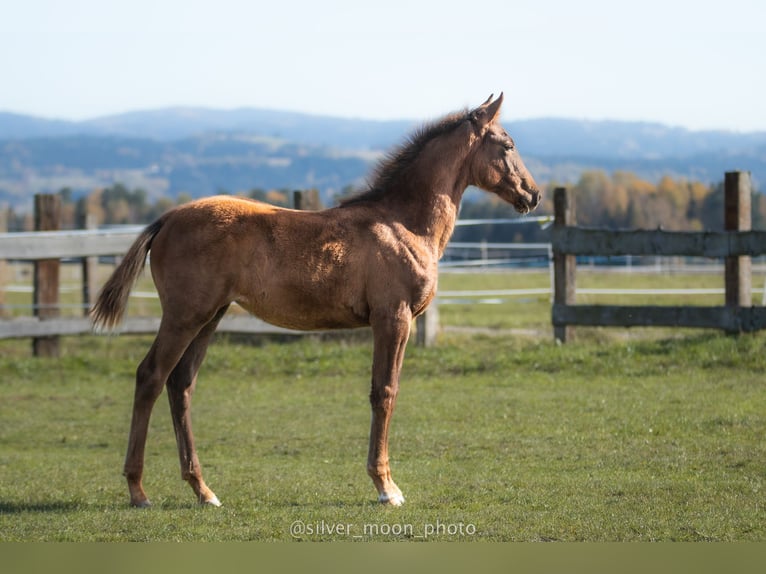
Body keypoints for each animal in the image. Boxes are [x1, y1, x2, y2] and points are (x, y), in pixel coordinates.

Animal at [93, 93, 544, 508]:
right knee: (150, 376)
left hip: (210, 316)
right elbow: (384, 392)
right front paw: (386, 487)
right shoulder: (393, 318)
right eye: (507, 144)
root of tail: (168, 218)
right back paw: (138, 490)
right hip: (185, 316)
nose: (534, 195)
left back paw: (204, 491)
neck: (403, 224)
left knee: (181, 383)